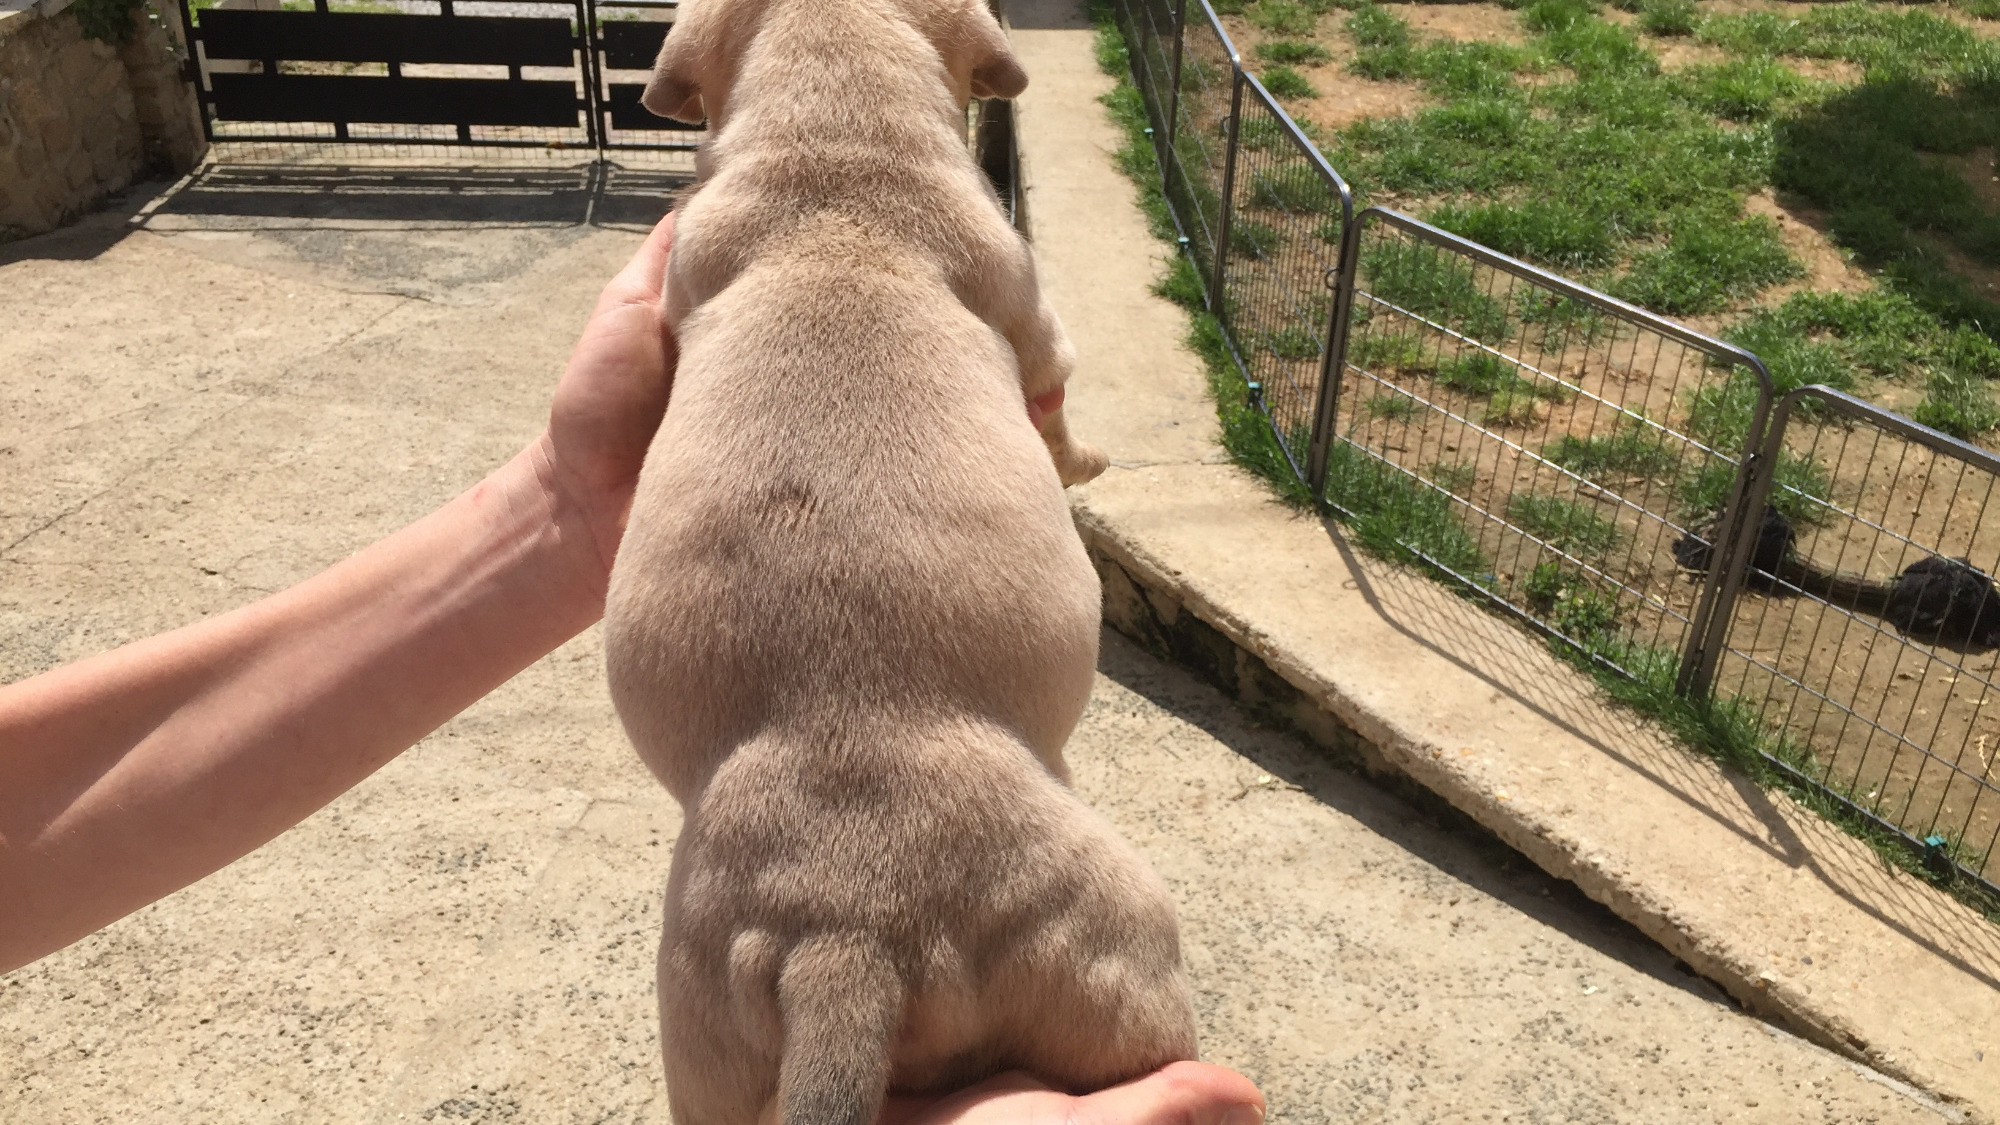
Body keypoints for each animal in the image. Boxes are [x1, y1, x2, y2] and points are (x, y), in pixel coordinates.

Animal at [600, 2, 1192, 1120]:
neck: (833, 165)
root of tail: (845, 938)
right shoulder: (1037, 331)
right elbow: (1056, 410)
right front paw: (1085, 462)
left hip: (705, 1036)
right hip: (1112, 959)